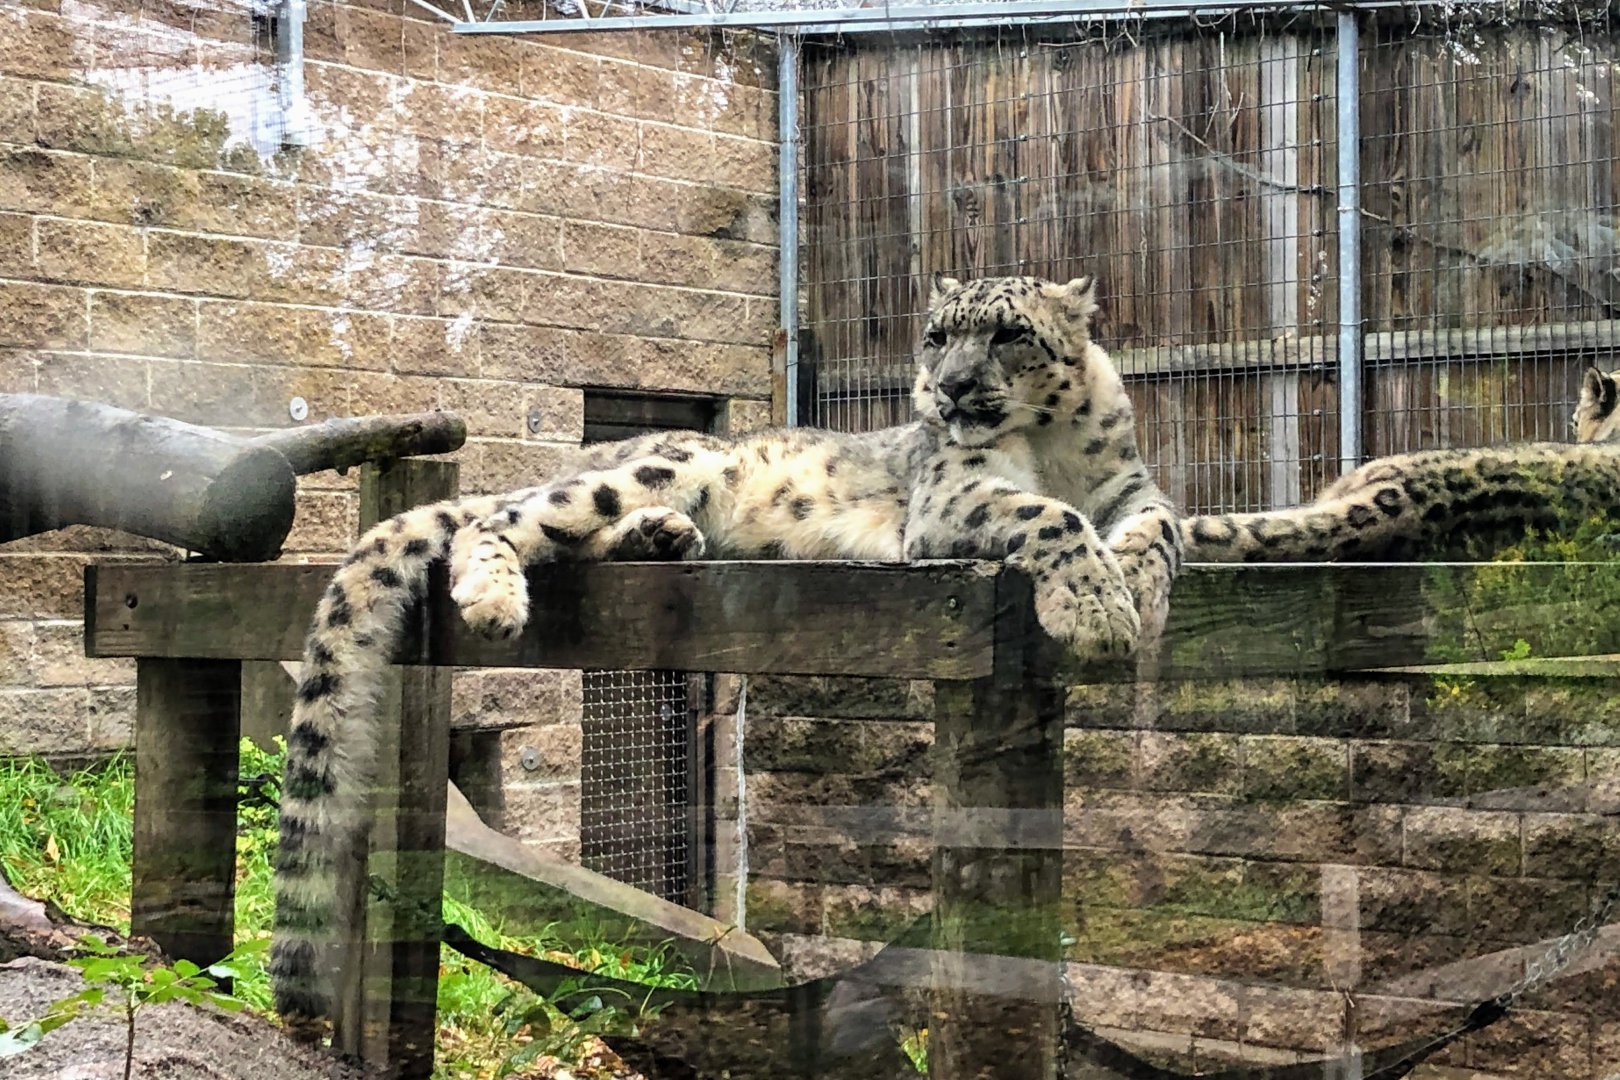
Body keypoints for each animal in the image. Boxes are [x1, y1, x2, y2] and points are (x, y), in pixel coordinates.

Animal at [269, 272, 1183, 1031]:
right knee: (503, 521)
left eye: (1008, 333)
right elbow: (1047, 513)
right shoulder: (954, 493)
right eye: (936, 335)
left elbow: (1163, 524)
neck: (1052, 444)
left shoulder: (1132, 487)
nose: (949, 387)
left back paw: (660, 537)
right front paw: (1098, 607)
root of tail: (597, 450)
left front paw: (1135, 583)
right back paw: (500, 594)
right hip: (663, 466)